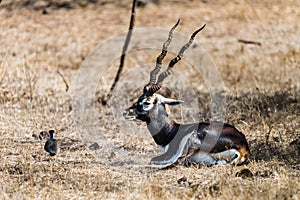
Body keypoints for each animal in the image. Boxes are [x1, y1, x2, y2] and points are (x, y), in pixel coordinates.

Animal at [122, 19, 251, 167]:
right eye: (139, 98)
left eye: (147, 102)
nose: (126, 112)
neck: (171, 132)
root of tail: (243, 146)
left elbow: (155, 159)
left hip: (192, 142)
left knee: (176, 162)